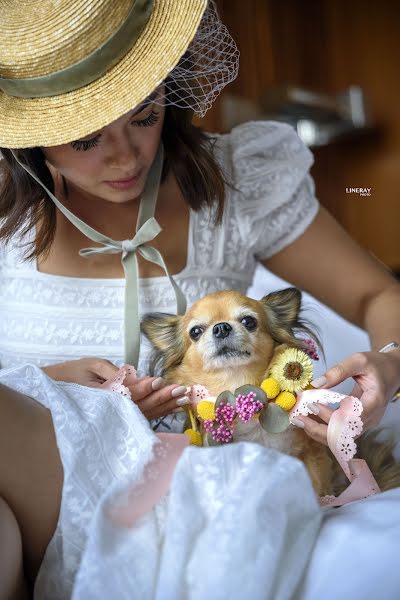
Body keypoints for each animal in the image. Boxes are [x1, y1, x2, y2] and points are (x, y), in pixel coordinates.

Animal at [141, 288, 400, 494]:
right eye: (195, 332)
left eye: (249, 321)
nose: (222, 328)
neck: (237, 388)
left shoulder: (312, 455)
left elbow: (317, 490)